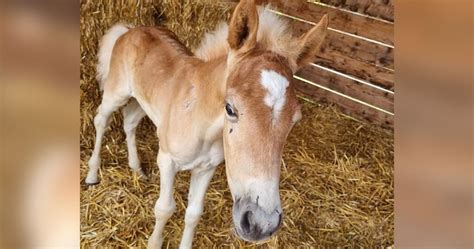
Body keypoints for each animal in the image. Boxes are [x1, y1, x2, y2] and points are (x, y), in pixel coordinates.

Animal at [86, 1, 326, 247]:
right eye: (229, 108)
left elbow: (193, 214)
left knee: (129, 122)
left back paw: (137, 169)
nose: (261, 223)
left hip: (142, 101)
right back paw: (92, 175)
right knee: (101, 119)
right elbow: (164, 208)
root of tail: (129, 29)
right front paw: (154, 242)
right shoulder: (167, 161)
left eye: (295, 120)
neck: (200, 121)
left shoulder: (206, 168)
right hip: (116, 92)